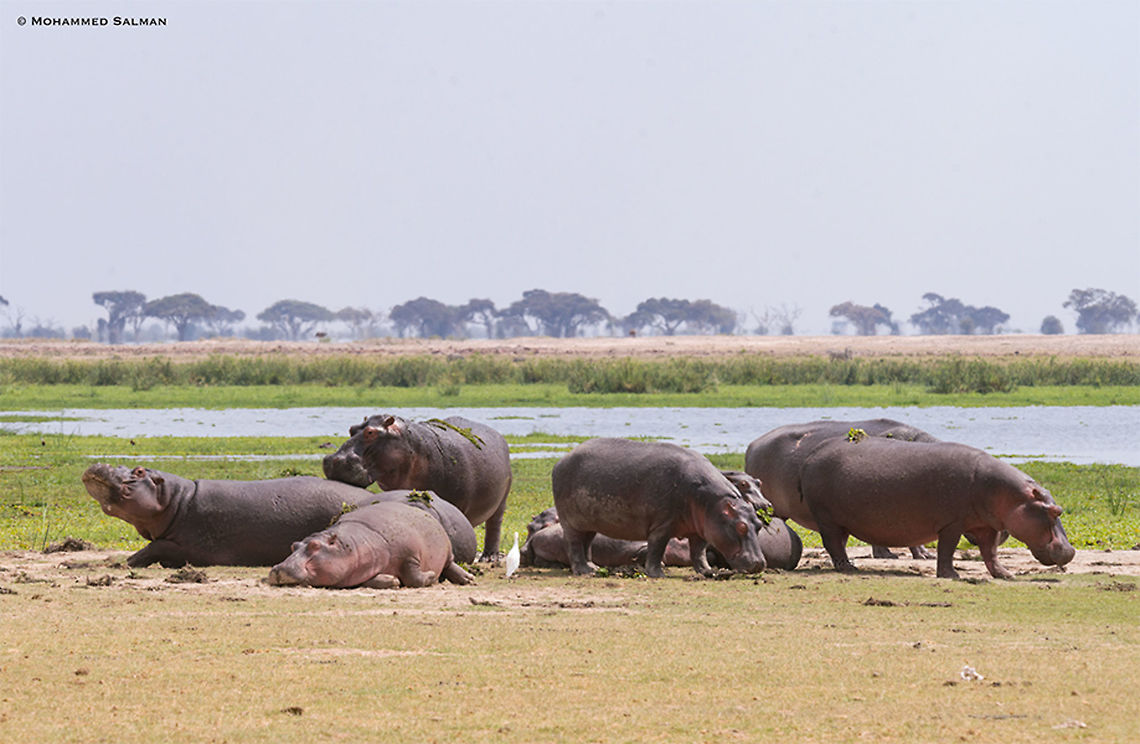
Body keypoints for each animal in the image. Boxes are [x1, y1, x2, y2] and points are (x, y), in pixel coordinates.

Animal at [82, 464, 384, 568]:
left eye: (139, 471)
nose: (100, 463)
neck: (176, 500)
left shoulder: (187, 545)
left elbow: (151, 547)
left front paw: (122, 563)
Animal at [268, 502, 474, 589]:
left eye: (314, 546)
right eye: (293, 545)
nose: (279, 569)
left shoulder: (411, 556)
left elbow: (414, 577)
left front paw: (431, 575)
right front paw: (392, 580)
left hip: (447, 551)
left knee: (450, 565)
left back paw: (468, 578)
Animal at [323, 414, 512, 559]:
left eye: (370, 432)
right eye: (351, 429)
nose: (333, 460)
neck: (412, 445)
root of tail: (498, 435)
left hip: (501, 500)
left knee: (494, 525)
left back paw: (489, 557)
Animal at [552, 438, 768, 578]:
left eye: (758, 525)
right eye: (741, 527)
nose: (759, 563)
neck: (713, 503)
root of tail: (561, 460)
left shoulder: (701, 529)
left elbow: (698, 552)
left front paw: (708, 571)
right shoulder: (662, 526)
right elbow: (657, 548)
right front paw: (658, 574)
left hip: (588, 522)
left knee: (586, 542)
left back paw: (593, 567)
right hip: (570, 522)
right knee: (574, 544)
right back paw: (583, 571)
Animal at [798, 437, 1075, 579]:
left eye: (1060, 508)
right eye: (1054, 512)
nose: (1071, 551)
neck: (1010, 495)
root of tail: (811, 457)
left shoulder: (987, 526)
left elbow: (991, 553)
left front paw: (1006, 575)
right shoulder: (952, 524)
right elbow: (947, 549)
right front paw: (952, 576)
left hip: (840, 521)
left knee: (839, 544)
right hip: (828, 520)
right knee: (833, 544)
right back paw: (848, 568)